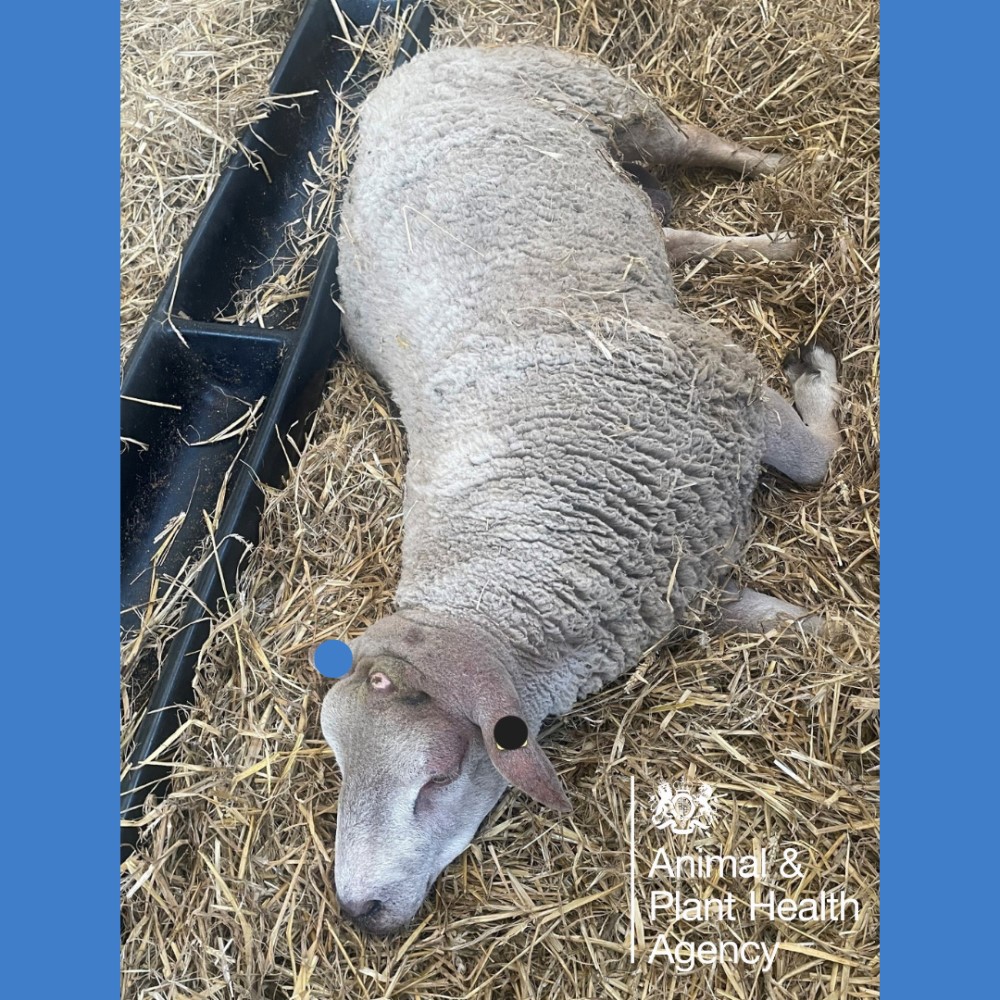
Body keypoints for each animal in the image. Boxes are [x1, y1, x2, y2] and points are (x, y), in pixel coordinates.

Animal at [318, 43, 836, 936]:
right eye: (342, 761)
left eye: (436, 777)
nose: (358, 909)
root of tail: (409, 67)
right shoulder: (682, 577)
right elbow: (784, 622)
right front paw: (836, 633)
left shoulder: (728, 396)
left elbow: (816, 463)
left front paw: (821, 375)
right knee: (668, 231)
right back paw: (758, 244)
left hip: (604, 97)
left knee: (697, 146)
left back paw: (780, 184)